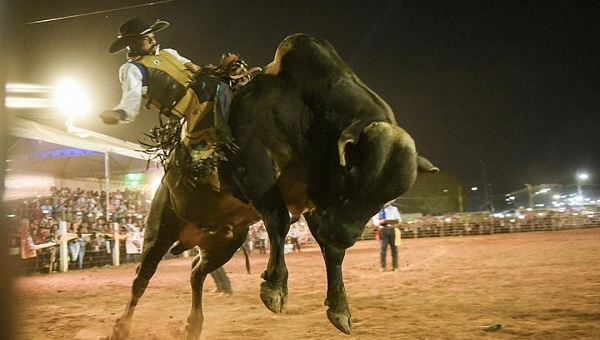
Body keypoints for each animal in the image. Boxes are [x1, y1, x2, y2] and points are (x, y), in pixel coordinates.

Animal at [106, 32, 436, 340]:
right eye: (349, 177)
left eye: (386, 199)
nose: (344, 235)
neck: (308, 109)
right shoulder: (257, 165)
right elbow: (279, 220)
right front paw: (275, 288)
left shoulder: (317, 205)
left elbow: (331, 252)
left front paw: (340, 310)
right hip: (160, 228)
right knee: (142, 277)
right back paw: (121, 327)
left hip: (226, 243)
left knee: (197, 272)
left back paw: (194, 324)